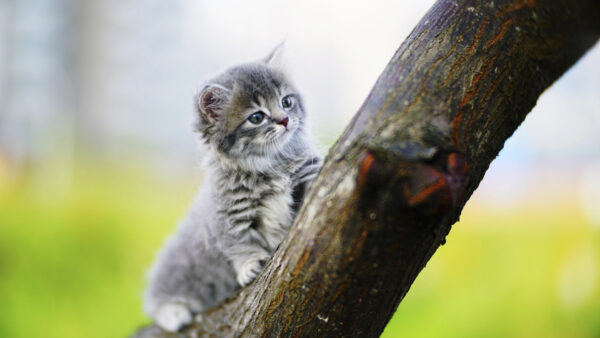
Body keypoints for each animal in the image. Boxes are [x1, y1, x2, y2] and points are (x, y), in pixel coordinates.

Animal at [143, 48, 322, 332]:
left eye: (286, 102)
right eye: (256, 117)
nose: (284, 120)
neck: (269, 164)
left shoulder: (306, 173)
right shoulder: (228, 214)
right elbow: (239, 243)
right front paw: (249, 264)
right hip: (178, 265)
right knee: (158, 295)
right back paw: (173, 312)